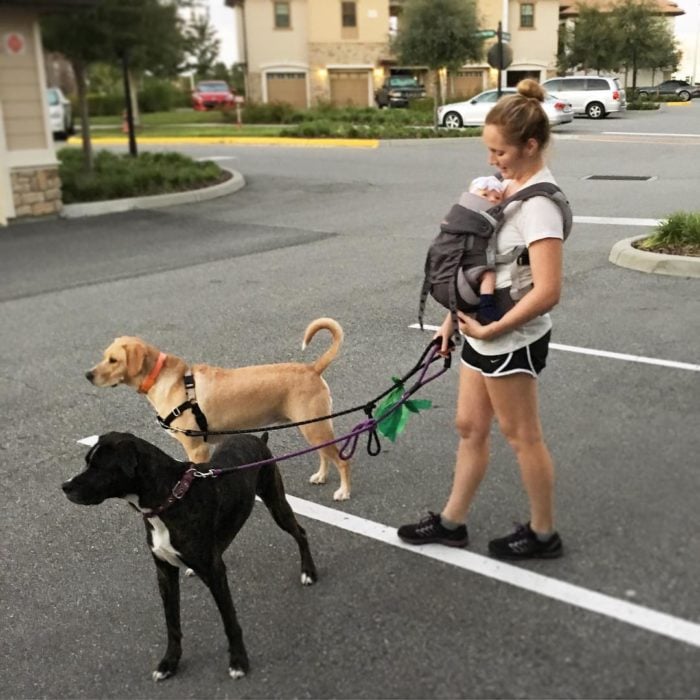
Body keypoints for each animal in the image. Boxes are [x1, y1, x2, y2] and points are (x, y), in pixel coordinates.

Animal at [63, 430, 318, 680]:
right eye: (87, 462)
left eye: (99, 466)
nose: (65, 486)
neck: (170, 497)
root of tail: (258, 438)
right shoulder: (164, 572)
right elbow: (172, 623)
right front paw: (169, 662)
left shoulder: (214, 573)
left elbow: (229, 620)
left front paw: (239, 661)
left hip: (276, 503)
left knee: (300, 533)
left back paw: (308, 572)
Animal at [85, 320, 352, 500]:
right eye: (104, 356)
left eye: (113, 360)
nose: (87, 375)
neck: (166, 379)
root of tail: (313, 368)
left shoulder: (197, 448)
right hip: (312, 427)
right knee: (324, 455)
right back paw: (321, 476)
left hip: (315, 428)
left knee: (341, 460)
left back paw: (344, 491)